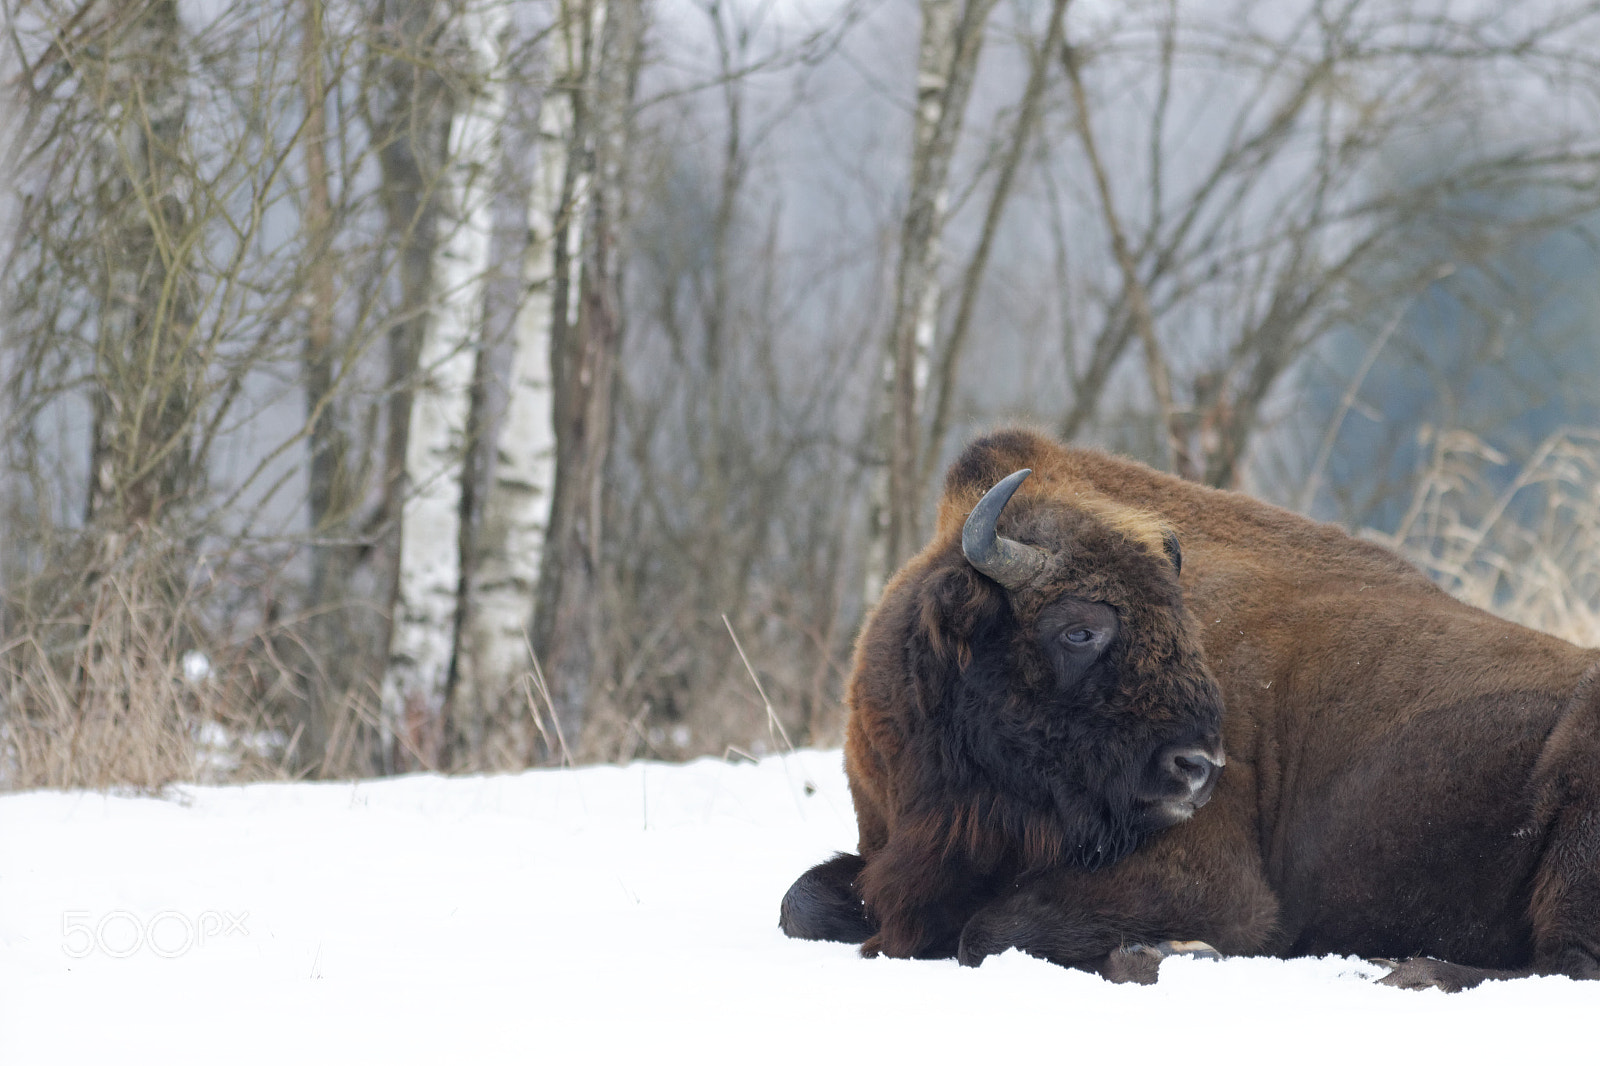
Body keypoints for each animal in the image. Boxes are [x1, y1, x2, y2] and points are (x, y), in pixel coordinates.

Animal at [780, 425, 1600, 985]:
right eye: (1079, 628)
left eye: (1187, 626)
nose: (1198, 768)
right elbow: (802, 904)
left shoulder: (1212, 886)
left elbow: (987, 932)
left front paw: (1176, 953)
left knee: (1564, 964)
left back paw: (1403, 970)